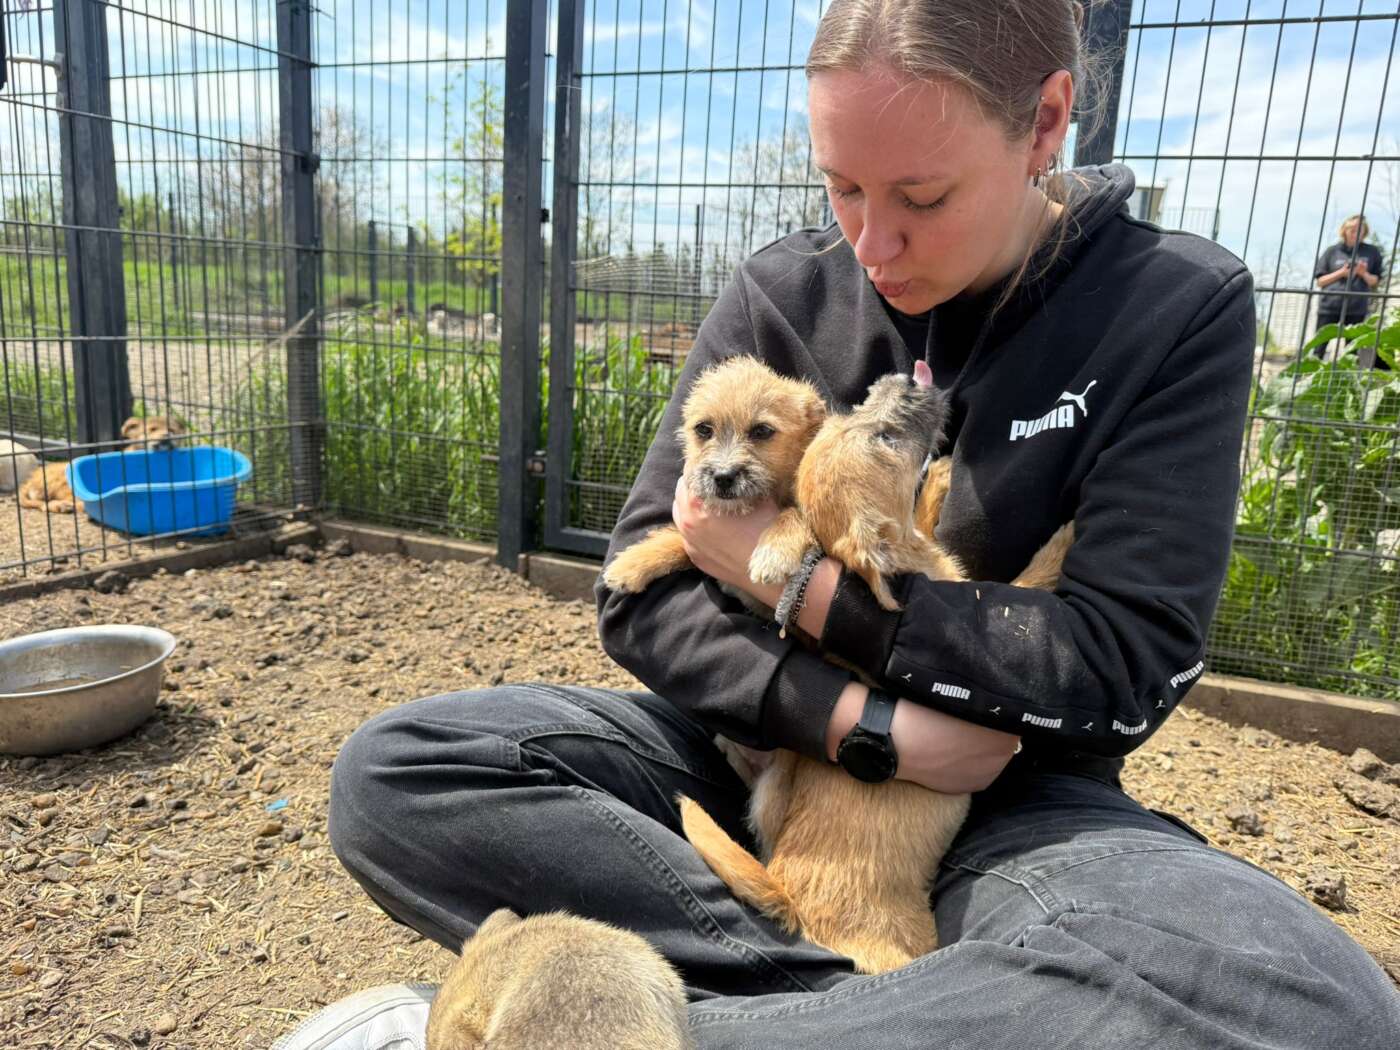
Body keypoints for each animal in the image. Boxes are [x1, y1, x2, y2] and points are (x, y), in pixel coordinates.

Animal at [17, 415, 187, 514]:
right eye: (151, 429)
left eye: (172, 429)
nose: (166, 436)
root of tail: (29, 479)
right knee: (76, 503)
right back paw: (63, 506)